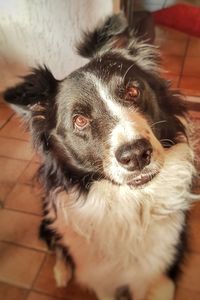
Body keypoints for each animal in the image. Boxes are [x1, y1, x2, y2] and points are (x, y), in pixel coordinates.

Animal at [3, 14, 197, 300]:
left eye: (132, 92)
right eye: (80, 120)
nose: (136, 155)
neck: (131, 204)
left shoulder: (161, 272)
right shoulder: (102, 279)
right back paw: (62, 272)